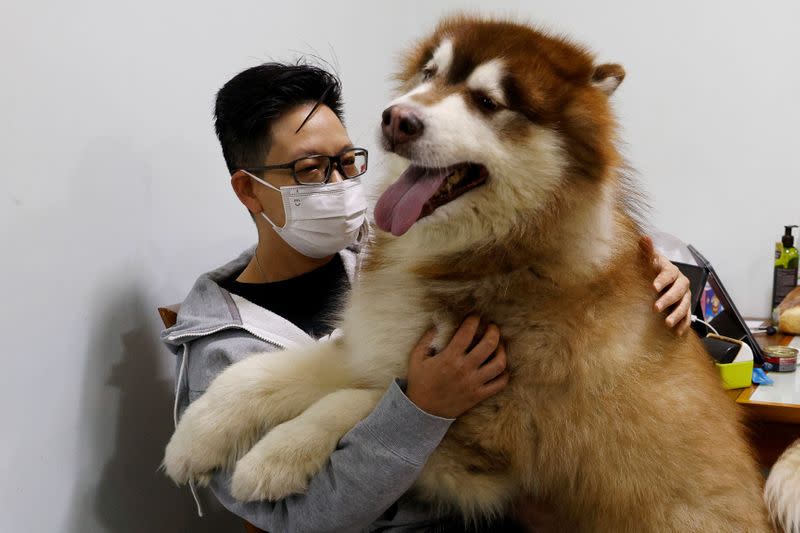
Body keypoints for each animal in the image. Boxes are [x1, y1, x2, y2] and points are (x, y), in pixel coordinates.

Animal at [164, 17, 800, 532]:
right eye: (429, 73)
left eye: (489, 102)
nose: (395, 118)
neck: (497, 255)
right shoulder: (378, 343)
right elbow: (258, 373)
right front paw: (193, 436)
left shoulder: (491, 449)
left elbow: (357, 400)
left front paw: (271, 459)